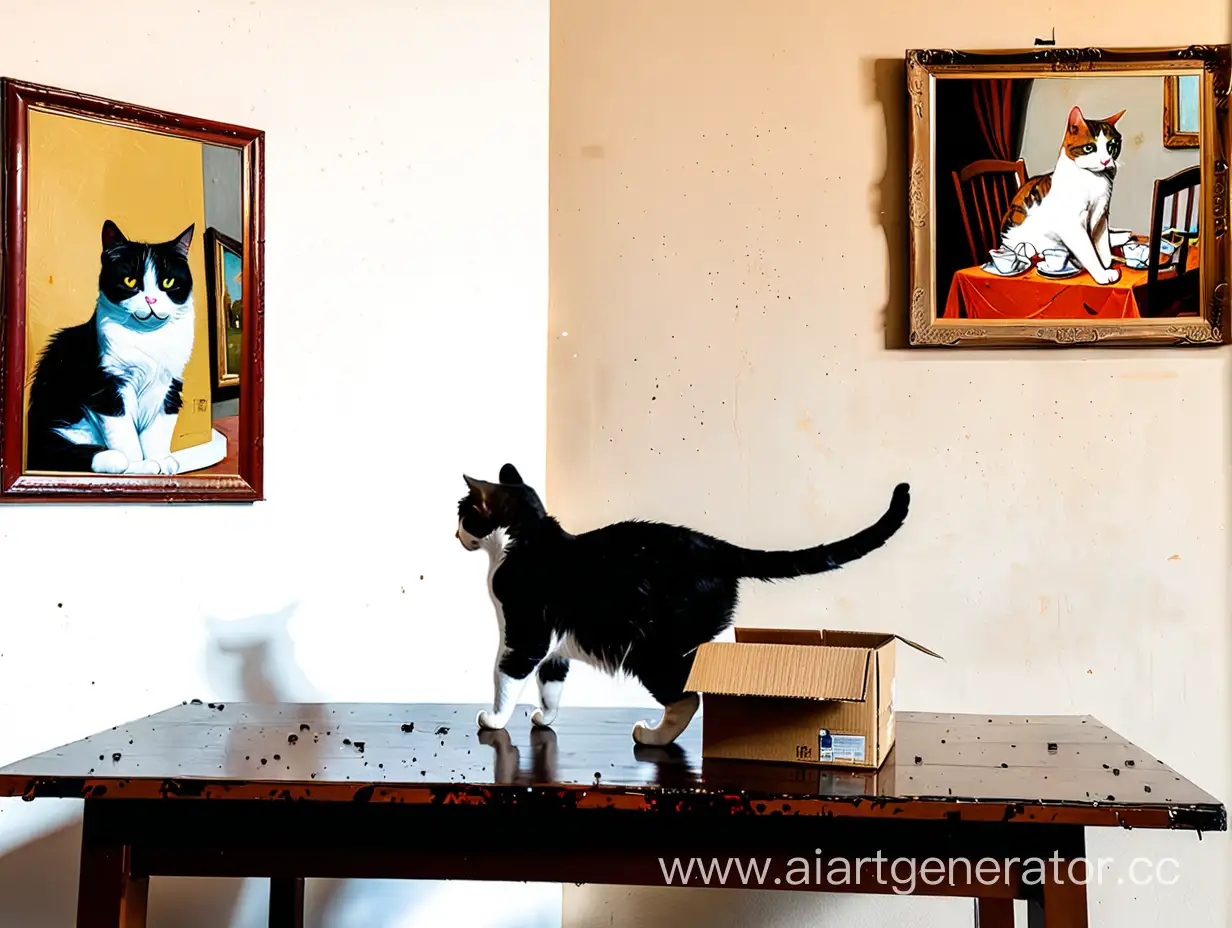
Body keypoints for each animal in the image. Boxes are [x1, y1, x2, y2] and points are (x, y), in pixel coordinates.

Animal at [27, 220, 194, 473]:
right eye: (130, 281)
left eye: (168, 283)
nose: (151, 300)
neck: (149, 340)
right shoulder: (107, 386)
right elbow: (125, 437)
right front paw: (140, 467)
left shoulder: (170, 385)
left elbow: (157, 432)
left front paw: (161, 461)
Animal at [458, 463, 911, 744]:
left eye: (463, 514)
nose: (455, 533)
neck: (526, 539)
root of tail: (716, 546)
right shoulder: (554, 646)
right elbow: (551, 684)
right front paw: (544, 717)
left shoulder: (524, 633)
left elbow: (506, 677)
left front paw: (494, 720)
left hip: (653, 650)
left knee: (687, 698)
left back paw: (652, 735)